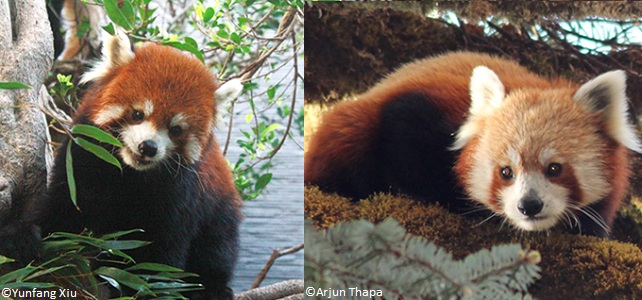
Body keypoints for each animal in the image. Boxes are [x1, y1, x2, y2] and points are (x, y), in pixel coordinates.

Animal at [0, 31, 242, 298]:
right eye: (138, 114)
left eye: (176, 129)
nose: (148, 147)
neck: (128, 173)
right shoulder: (81, 161)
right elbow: (61, 209)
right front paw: (22, 236)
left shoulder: (179, 196)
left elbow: (163, 254)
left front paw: (144, 286)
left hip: (219, 210)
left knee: (217, 249)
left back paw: (212, 288)